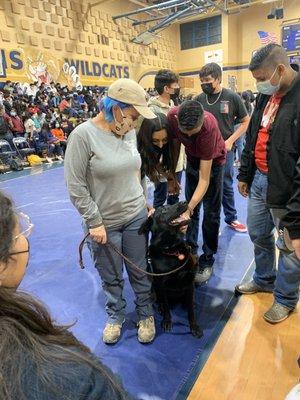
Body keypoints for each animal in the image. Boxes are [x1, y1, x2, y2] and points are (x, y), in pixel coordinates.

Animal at [139, 200, 203, 338]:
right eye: (163, 210)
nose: (184, 201)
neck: (172, 250)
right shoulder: (161, 284)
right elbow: (167, 306)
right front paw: (167, 320)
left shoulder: (189, 282)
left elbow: (191, 310)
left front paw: (194, 326)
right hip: (154, 286)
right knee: (161, 301)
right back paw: (160, 308)